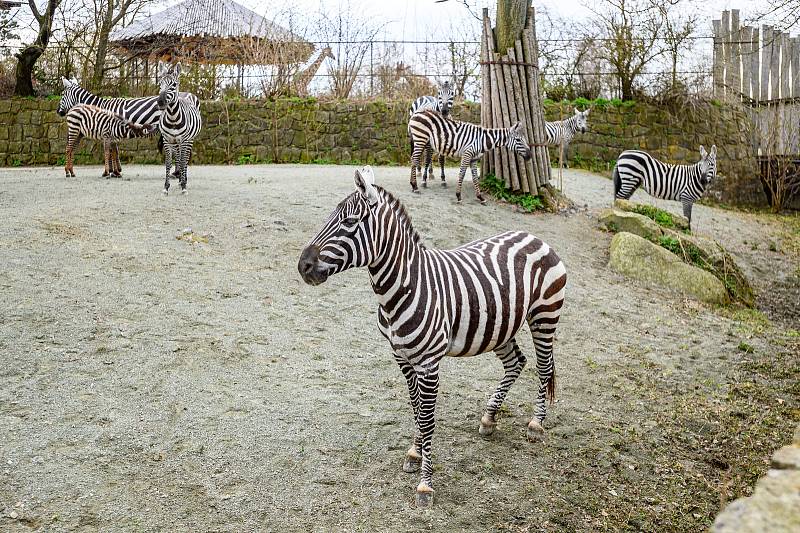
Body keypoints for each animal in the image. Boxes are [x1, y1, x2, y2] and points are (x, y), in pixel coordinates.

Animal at [57, 77, 199, 177]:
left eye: (63, 95)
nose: (58, 112)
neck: (101, 107)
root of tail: (192, 96)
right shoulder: (113, 130)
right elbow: (115, 150)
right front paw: (116, 171)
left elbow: (112, 150)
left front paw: (112, 171)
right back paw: (177, 172)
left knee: (178, 148)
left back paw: (177, 173)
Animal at [155, 63, 202, 194]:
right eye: (160, 83)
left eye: (174, 84)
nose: (160, 102)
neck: (172, 117)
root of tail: (185, 93)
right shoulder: (167, 140)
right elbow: (168, 163)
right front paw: (166, 187)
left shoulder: (185, 140)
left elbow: (183, 161)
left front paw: (184, 187)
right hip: (176, 142)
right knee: (178, 158)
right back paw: (180, 178)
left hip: (189, 140)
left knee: (184, 159)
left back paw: (183, 180)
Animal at [296, 166, 564, 508]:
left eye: (350, 222)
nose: (303, 266)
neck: (403, 287)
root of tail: (534, 236)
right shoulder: (402, 358)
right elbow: (415, 409)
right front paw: (415, 452)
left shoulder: (428, 364)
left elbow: (427, 418)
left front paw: (425, 484)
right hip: (500, 326)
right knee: (516, 363)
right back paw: (489, 418)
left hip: (544, 316)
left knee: (544, 368)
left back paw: (536, 424)